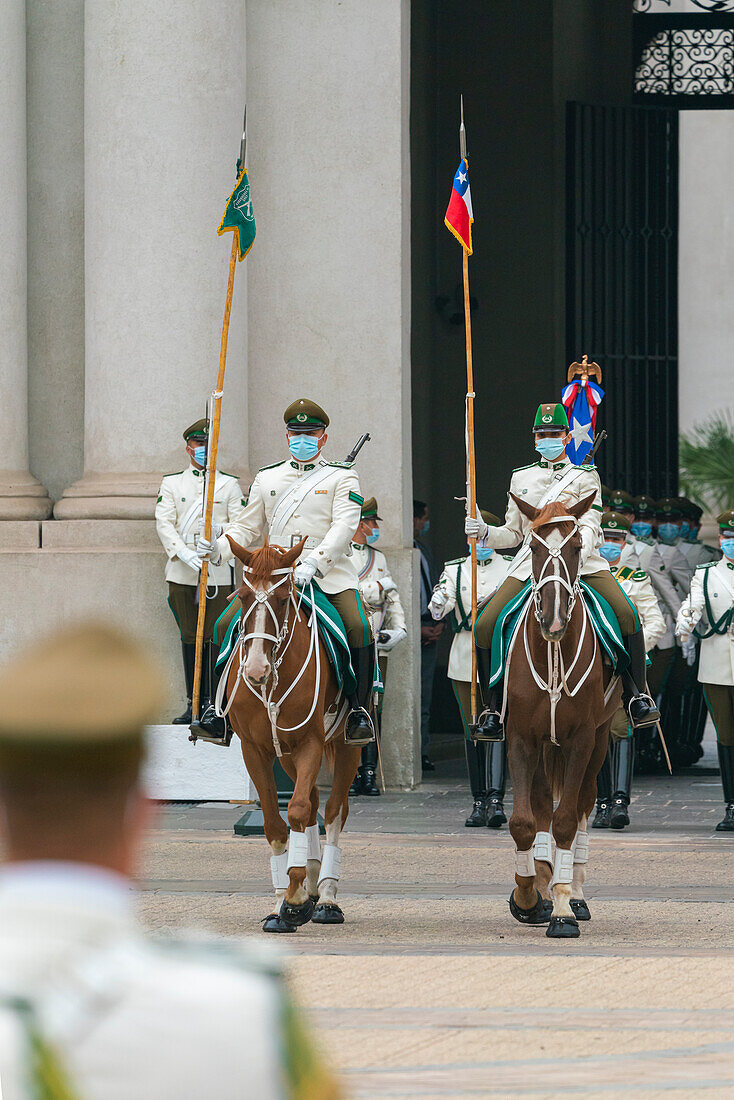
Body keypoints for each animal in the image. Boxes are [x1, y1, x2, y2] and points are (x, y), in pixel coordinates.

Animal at [221, 536, 365, 932]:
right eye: (242, 596)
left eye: (285, 597)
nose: (255, 670)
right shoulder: (256, 750)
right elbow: (274, 823)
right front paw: (282, 902)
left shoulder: (310, 742)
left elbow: (298, 809)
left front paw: (296, 897)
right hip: (285, 755)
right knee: (315, 803)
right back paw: (313, 885)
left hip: (346, 746)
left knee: (333, 811)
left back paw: (326, 896)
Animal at [501, 497, 625, 937]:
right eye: (534, 549)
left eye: (575, 547)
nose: (553, 622)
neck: (552, 650)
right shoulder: (521, 737)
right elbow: (523, 821)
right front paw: (527, 897)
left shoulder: (581, 739)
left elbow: (568, 820)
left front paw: (561, 909)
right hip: (543, 746)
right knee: (540, 804)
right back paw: (543, 877)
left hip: (601, 739)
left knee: (584, 802)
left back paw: (574, 893)